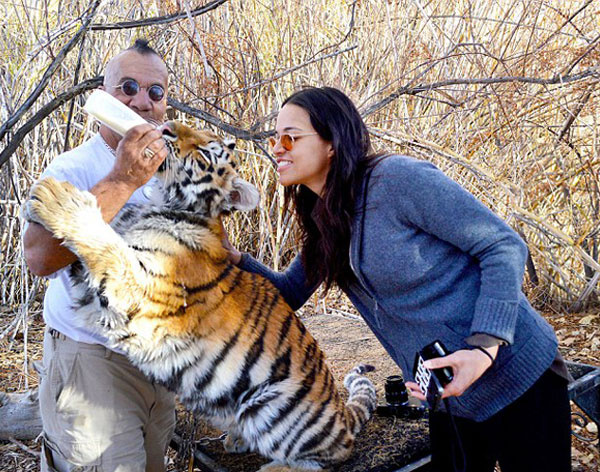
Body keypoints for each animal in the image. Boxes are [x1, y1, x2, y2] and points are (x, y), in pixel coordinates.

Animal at [27, 121, 380, 472]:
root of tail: (341, 412)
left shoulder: (141, 291)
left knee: (326, 456)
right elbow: (91, 250)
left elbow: (107, 244)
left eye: (204, 151)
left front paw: (56, 196)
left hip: (268, 406)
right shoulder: (90, 291)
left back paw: (273, 465)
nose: (166, 127)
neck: (165, 203)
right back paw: (235, 439)